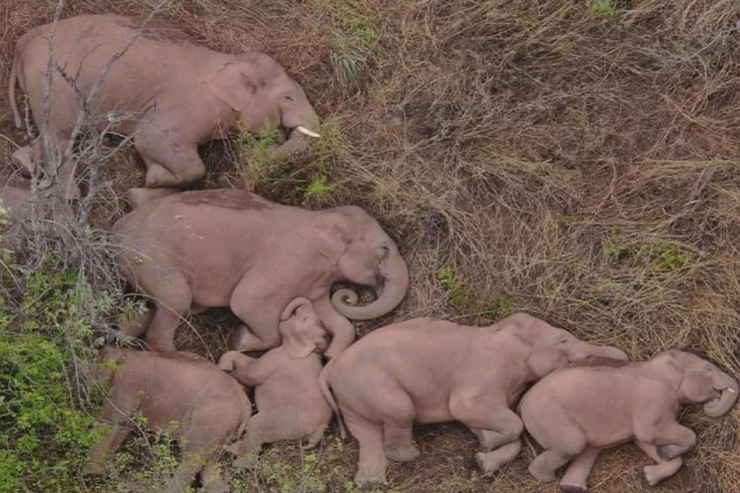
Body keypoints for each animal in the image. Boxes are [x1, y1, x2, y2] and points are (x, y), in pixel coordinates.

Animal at [7, 13, 320, 198]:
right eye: (287, 98)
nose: (277, 138)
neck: (229, 60)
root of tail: (21, 43)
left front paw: (153, 177)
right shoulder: (186, 108)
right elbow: (150, 140)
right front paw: (154, 179)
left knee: (50, 134)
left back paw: (23, 163)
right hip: (52, 84)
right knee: (59, 135)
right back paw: (71, 195)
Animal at [85, 346, 253, 492]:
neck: (125, 352)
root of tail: (245, 405)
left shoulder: (128, 384)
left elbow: (111, 418)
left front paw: (91, 474)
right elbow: (122, 426)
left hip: (210, 419)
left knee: (191, 458)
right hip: (222, 428)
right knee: (209, 463)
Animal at [114, 189, 410, 358]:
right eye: (384, 248)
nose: (351, 296)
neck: (321, 217)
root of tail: (117, 229)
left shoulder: (315, 280)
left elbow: (334, 316)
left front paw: (330, 353)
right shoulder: (288, 260)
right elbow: (246, 302)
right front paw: (239, 339)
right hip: (149, 256)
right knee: (176, 299)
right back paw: (184, 358)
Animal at [320, 314, 632, 482]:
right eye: (564, 340)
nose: (623, 356)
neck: (499, 330)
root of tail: (329, 367)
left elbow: (489, 424)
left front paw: (482, 454)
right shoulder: (481, 375)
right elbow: (469, 410)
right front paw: (486, 442)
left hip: (351, 395)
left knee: (366, 433)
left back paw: (369, 479)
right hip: (369, 382)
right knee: (399, 410)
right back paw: (408, 454)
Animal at [520, 348, 740, 490]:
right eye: (709, 369)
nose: (713, 401)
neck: (655, 365)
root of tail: (521, 402)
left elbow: (644, 442)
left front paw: (653, 470)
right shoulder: (652, 399)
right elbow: (652, 434)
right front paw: (667, 452)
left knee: (588, 449)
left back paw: (572, 487)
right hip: (549, 417)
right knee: (573, 445)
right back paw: (546, 478)